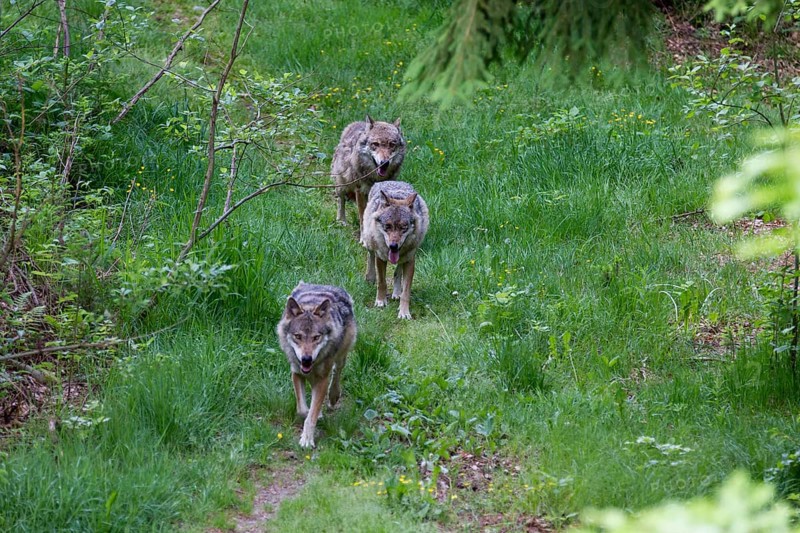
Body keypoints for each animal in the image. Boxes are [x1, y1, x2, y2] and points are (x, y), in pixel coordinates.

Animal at [276, 282, 357, 448]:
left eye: (316, 337)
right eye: (298, 336)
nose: (306, 359)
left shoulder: (322, 379)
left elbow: (311, 416)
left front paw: (307, 439)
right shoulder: (296, 373)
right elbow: (303, 410)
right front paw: (312, 414)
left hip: (340, 357)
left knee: (337, 372)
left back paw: (333, 396)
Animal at [361, 181, 429, 319]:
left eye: (403, 227)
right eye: (387, 226)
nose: (393, 246)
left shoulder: (410, 260)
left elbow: (406, 291)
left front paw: (404, 312)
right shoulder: (380, 257)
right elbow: (382, 282)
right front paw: (380, 301)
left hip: (404, 258)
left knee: (398, 271)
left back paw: (396, 293)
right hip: (369, 240)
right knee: (370, 255)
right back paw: (370, 277)